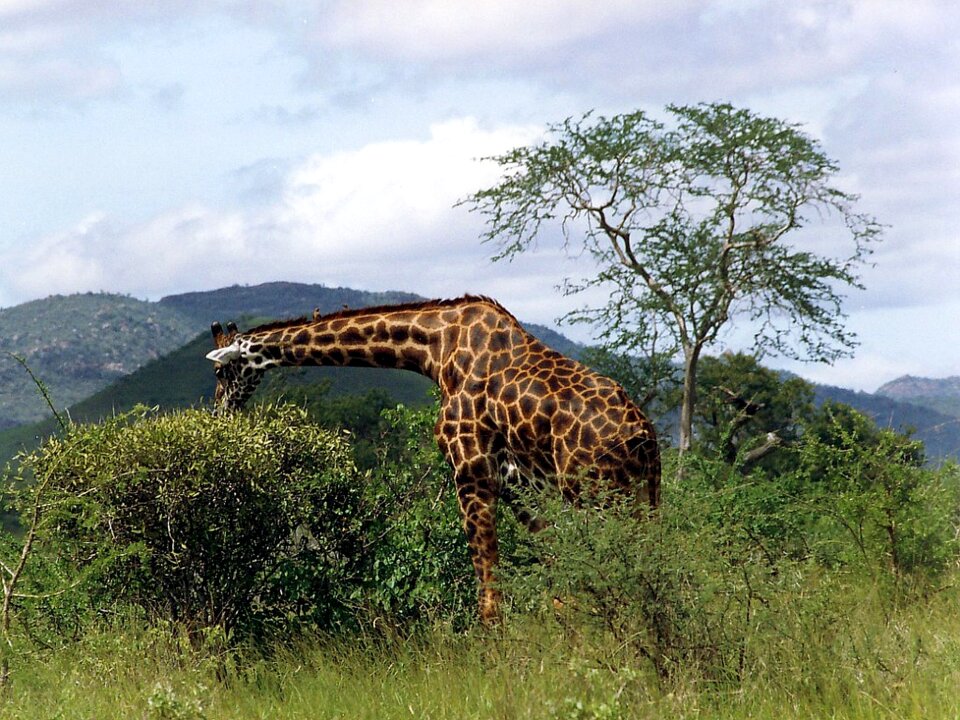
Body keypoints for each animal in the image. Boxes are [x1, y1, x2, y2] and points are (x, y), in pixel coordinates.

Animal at [204, 296, 660, 624]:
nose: (220, 412)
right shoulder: (517, 484)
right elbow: (556, 576)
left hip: (595, 495)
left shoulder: (471, 467)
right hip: (640, 496)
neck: (435, 348)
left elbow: (490, 590)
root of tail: (643, 437)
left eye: (221, 373)